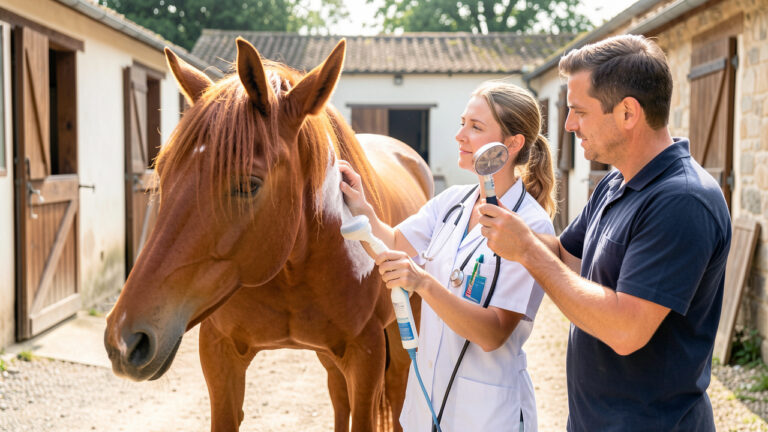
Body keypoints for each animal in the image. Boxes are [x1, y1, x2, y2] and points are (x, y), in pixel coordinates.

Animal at [103, 38, 433, 432]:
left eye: (249, 184)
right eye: (163, 172)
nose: (125, 340)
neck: (292, 269)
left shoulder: (365, 355)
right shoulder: (220, 354)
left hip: (402, 337)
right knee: (338, 396)